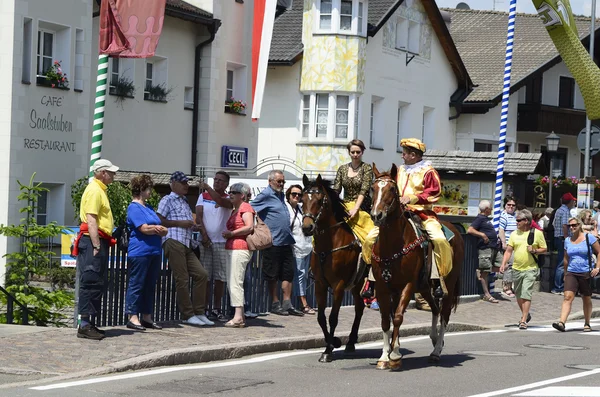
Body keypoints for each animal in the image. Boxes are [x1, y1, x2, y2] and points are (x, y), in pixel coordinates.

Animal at [300, 174, 366, 362]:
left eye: (319, 200)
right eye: (302, 200)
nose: (307, 228)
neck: (329, 246)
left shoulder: (338, 286)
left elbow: (333, 317)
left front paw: (329, 349)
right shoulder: (320, 284)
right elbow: (321, 318)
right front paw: (332, 342)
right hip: (357, 285)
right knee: (359, 308)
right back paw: (350, 342)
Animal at [370, 163, 464, 368]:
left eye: (392, 189)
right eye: (373, 189)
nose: (376, 215)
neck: (393, 245)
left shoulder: (408, 285)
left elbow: (398, 317)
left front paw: (395, 355)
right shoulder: (383, 287)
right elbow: (385, 320)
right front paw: (384, 356)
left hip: (447, 286)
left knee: (444, 314)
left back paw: (436, 351)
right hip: (425, 287)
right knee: (435, 310)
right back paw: (435, 340)